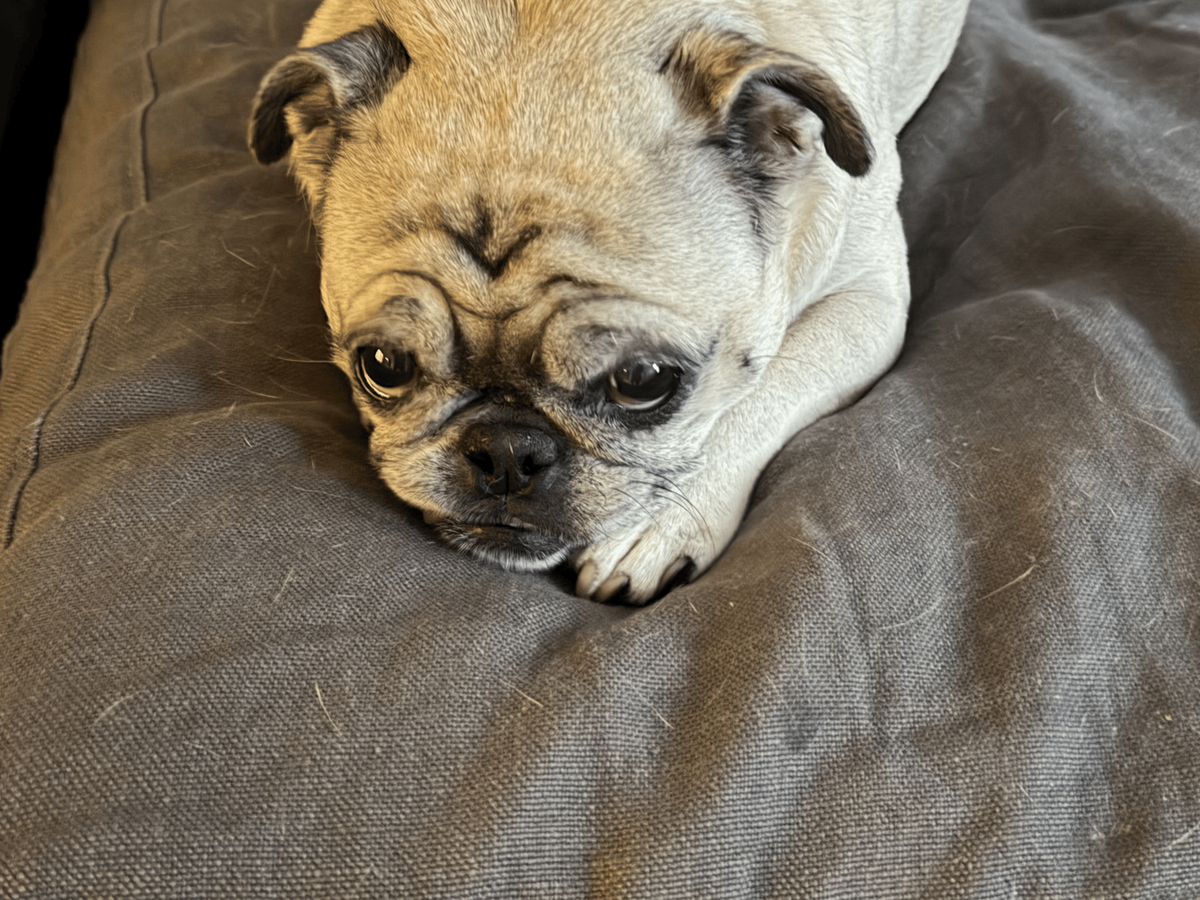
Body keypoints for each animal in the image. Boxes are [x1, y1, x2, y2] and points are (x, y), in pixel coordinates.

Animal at [249, 0, 969, 603]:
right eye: (383, 367)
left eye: (644, 381)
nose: (506, 451)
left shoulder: (869, 302)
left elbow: (761, 396)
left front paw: (661, 521)